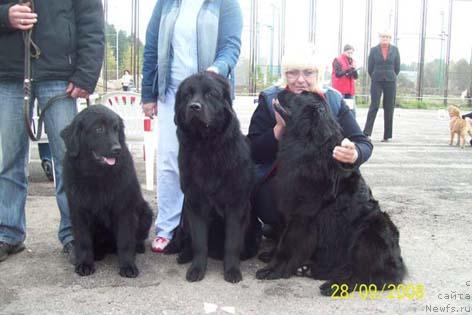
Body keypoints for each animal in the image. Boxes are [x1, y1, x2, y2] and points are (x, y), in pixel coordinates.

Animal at [60, 105, 152, 278]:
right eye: (99, 129)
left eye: (116, 129)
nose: (117, 149)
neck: (97, 175)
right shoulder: (78, 211)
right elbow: (83, 241)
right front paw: (85, 263)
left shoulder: (124, 210)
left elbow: (125, 241)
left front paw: (128, 265)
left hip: (146, 212)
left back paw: (138, 247)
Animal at [171, 73, 262, 286]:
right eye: (187, 95)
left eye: (210, 94)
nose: (194, 107)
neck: (206, 146)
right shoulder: (195, 202)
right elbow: (199, 242)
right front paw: (196, 269)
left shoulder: (236, 204)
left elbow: (232, 242)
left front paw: (232, 270)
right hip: (185, 215)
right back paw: (184, 255)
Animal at [254, 90, 406, 296]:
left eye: (299, 94)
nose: (281, 90)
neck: (306, 142)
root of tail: (399, 265)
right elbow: (282, 238)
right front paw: (271, 256)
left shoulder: (302, 214)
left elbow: (287, 243)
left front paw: (273, 269)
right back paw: (308, 268)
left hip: (369, 235)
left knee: (365, 276)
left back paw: (333, 286)